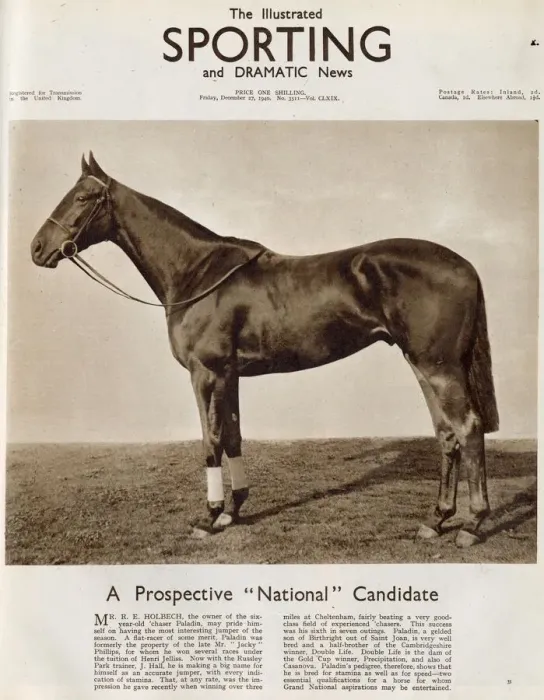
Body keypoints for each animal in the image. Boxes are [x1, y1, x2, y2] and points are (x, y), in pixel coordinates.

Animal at [30, 152, 499, 548]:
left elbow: (211, 440)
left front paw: (210, 516)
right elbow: (234, 436)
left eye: (83, 197)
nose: (37, 248)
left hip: (438, 366)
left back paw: (473, 524)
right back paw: (436, 520)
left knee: (468, 428)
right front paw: (233, 511)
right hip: (422, 364)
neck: (198, 273)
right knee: (446, 434)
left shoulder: (205, 372)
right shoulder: (230, 374)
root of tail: (466, 265)